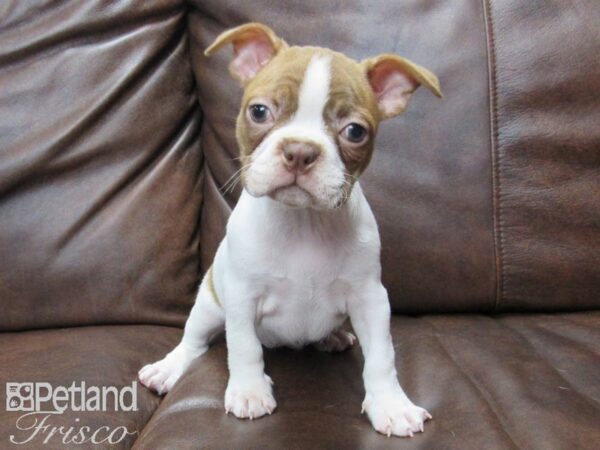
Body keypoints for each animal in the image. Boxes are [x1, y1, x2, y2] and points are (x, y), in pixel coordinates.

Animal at [139, 22, 440, 438]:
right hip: (209, 303)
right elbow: (243, 346)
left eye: (355, 131)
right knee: (194, 340)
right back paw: (169, 367)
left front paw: (392, 406)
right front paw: (250, 392)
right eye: (259, 111)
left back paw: (332, 336)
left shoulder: (370, 299)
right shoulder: (242, 296)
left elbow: (382, 355)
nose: (300, 150)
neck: (303, 222)